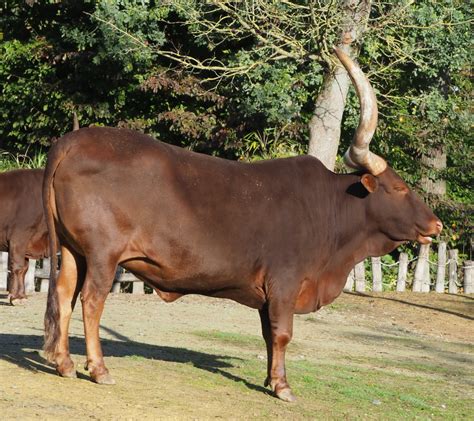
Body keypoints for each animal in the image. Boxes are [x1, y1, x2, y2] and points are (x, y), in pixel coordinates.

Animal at [42, 49, 442, 400]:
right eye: (400, 188)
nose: (436, 225)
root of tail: (72, 140)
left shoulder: (269, 291)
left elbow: (268, 334)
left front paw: (270, 379)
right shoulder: (284, 282)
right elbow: (282, 333)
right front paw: (283, 387)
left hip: (73, 250)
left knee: (63, 292)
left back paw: (64, 364)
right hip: (103, 254)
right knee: (91, 300)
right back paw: (98, 369)